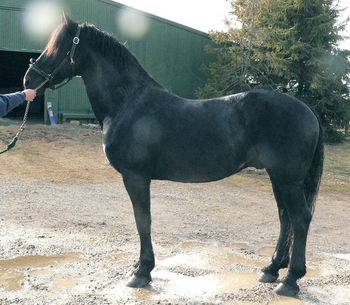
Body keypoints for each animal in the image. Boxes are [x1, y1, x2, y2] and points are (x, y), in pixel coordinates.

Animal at [23, 13, 322, 296]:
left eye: (58, 48)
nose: (29, 79)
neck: (127, 102)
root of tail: (309, 112)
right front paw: (139, 266)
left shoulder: (135, 177)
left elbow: (143, 221)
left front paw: (142, 272)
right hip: (277, 178)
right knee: (285, 219)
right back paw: (271, 269)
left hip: (287, 179)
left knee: (300, 219)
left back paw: (290, 281)